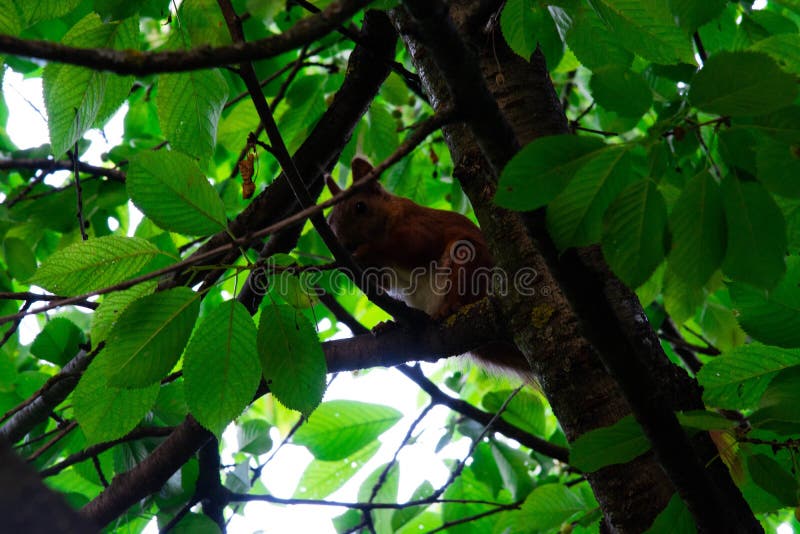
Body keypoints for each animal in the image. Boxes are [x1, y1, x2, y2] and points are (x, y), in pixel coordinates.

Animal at [326, 156, 531, 378]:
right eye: (329, 221)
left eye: (360, 207)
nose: (345, 245)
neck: (391, 216)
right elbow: (384, 282)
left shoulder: (420, 228)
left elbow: (413, 247)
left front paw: (363, 252)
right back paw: (390, 326)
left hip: (470, 263)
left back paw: (448, 308)